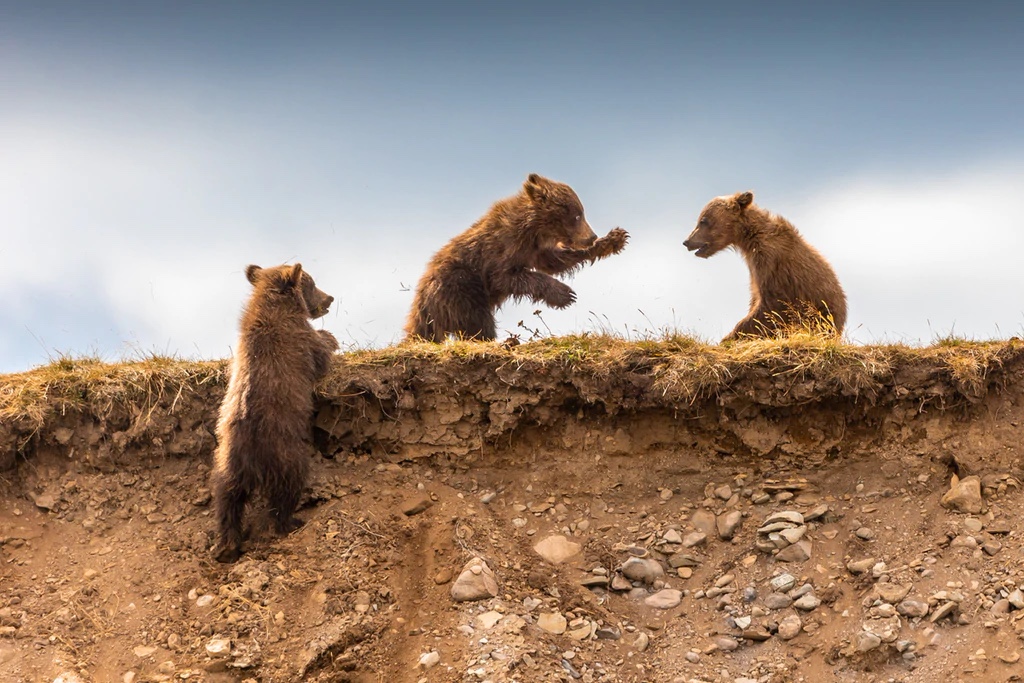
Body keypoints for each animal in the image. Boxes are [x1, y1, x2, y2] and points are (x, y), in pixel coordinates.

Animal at [210, 263, 339, 563]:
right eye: (312, 283)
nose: (329, 299)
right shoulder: (299, 340)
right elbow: (320, 354)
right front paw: (331, 338)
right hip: (283, 451)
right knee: (288, 486)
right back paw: (288, 522)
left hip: (225, 462)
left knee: (226, 498)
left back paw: (226, 546)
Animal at [405, 173, 629, 342]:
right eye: (577, 215)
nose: (591, 237)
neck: (534, 230)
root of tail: (421, 298)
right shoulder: (504, 247)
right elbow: (507, 276)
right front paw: (565, 294)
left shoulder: (535, 249)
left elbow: (555, 262)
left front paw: (614, 239)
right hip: (461, 288)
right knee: (478, 320)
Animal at [683, 191, 846, 342]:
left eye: (703, 220)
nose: (687, 241)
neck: (749, 239)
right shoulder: (754, 269)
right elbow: (756, 298)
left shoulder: (771, 263)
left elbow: (771, 305)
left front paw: (730, 337)